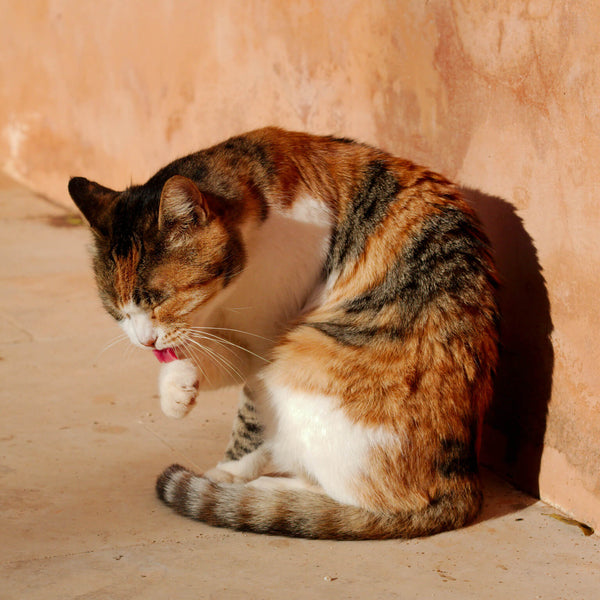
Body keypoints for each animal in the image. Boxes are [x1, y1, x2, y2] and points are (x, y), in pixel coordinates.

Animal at [68, 126, 500, 540]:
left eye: (160, 299)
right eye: (117, 310)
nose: (144, 340)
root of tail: (462, 482)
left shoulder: (270, 338)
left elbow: (251, 417)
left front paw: (229, 473)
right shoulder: (239, 338)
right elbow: (211, 359)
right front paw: (177, 386)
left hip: (301, 361)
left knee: (368, 501)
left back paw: (268, 493)